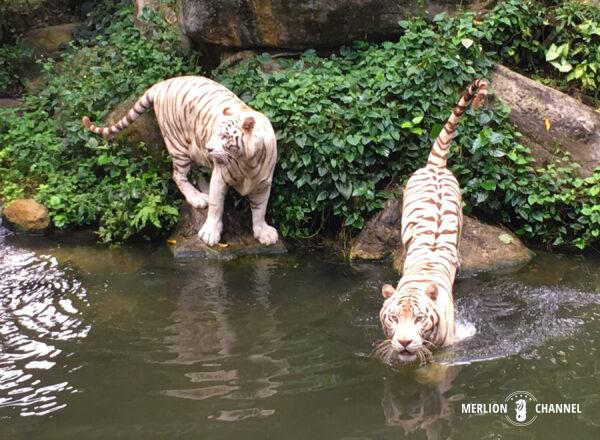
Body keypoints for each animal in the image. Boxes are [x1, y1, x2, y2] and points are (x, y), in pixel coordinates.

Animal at [82, 76, 278, 248]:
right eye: (215, 132)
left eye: (224, 136)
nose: (209, 148)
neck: (246, 162)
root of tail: (162, 83)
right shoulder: (221, 176)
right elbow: (216, 206)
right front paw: (210, 233)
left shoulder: (263, 183)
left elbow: (260, 209)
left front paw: (263, 233)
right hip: (178, 146)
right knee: (178, 175)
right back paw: (197, 198)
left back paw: (204, 192)